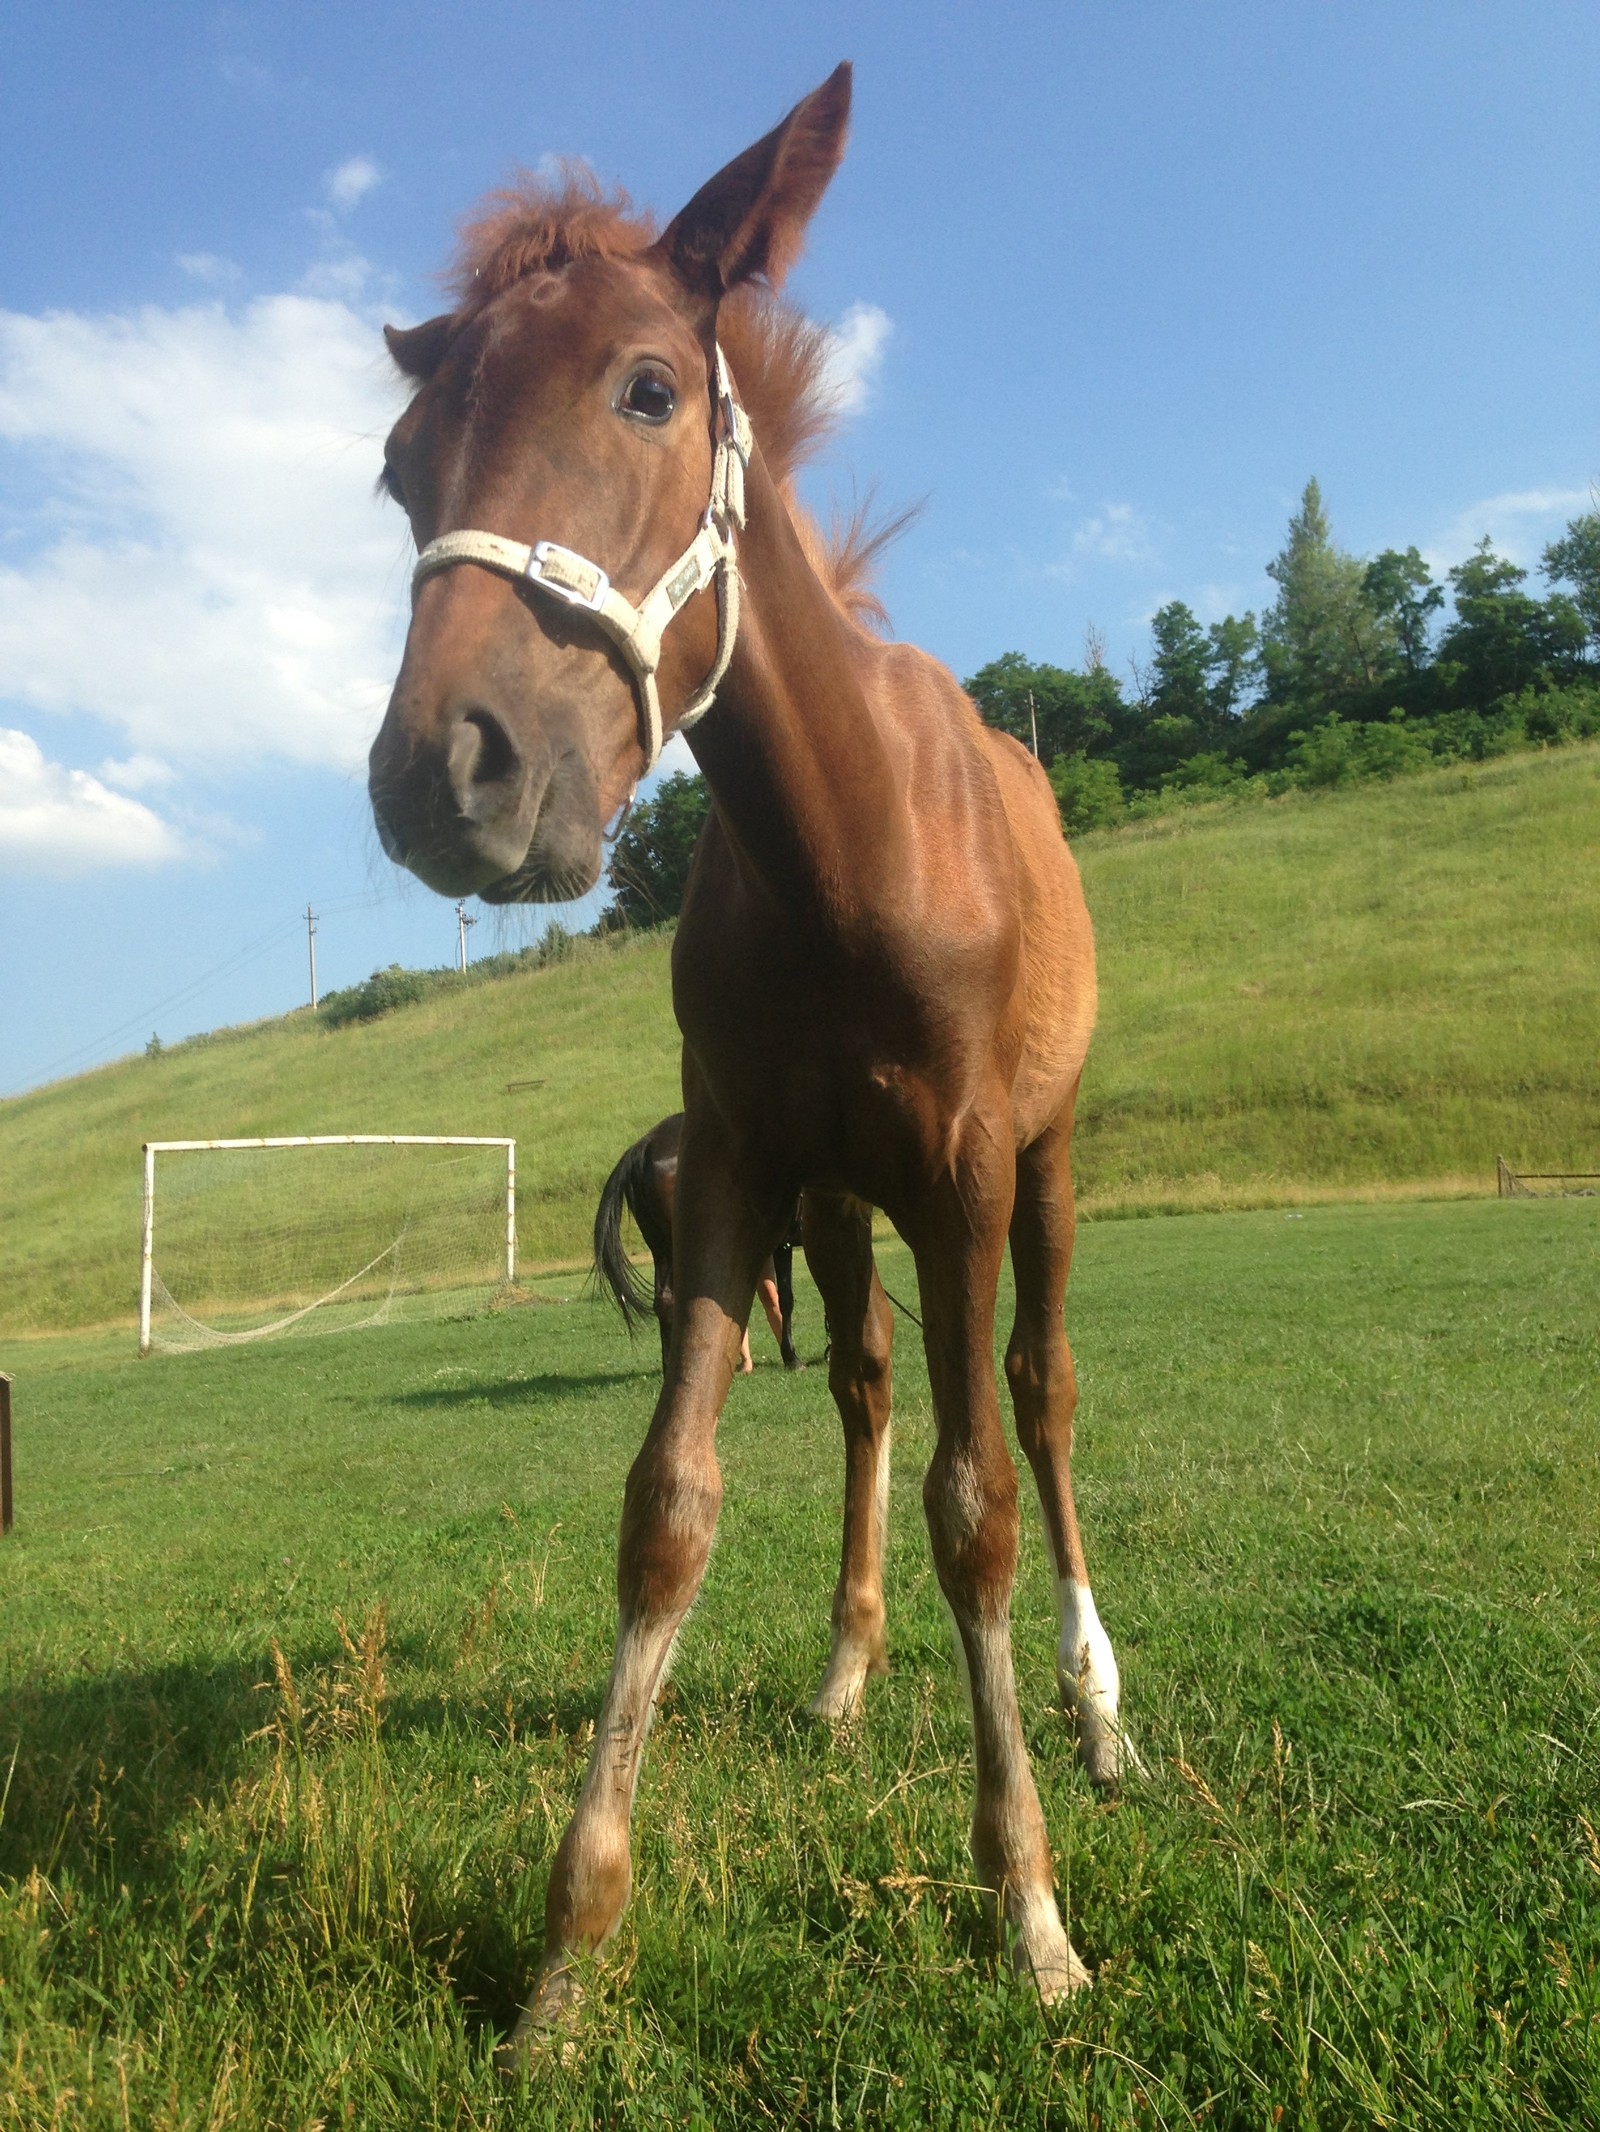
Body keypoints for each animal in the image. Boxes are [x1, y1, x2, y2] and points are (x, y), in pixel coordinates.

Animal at [373, 58, 1126, 2038]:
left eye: (648, 387)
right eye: (401, 466)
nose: (446, 776)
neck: (845, 845)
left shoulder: (962, 1166)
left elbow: (979, 1502)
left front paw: (1027, 1904)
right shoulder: (733, 1164)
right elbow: (671, 1506)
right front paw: (570, 1947)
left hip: (1041, 1166)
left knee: (1040, 1396)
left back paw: (1098, 1705)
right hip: (842, 1203)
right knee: (863, 1386)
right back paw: (849, 1674)